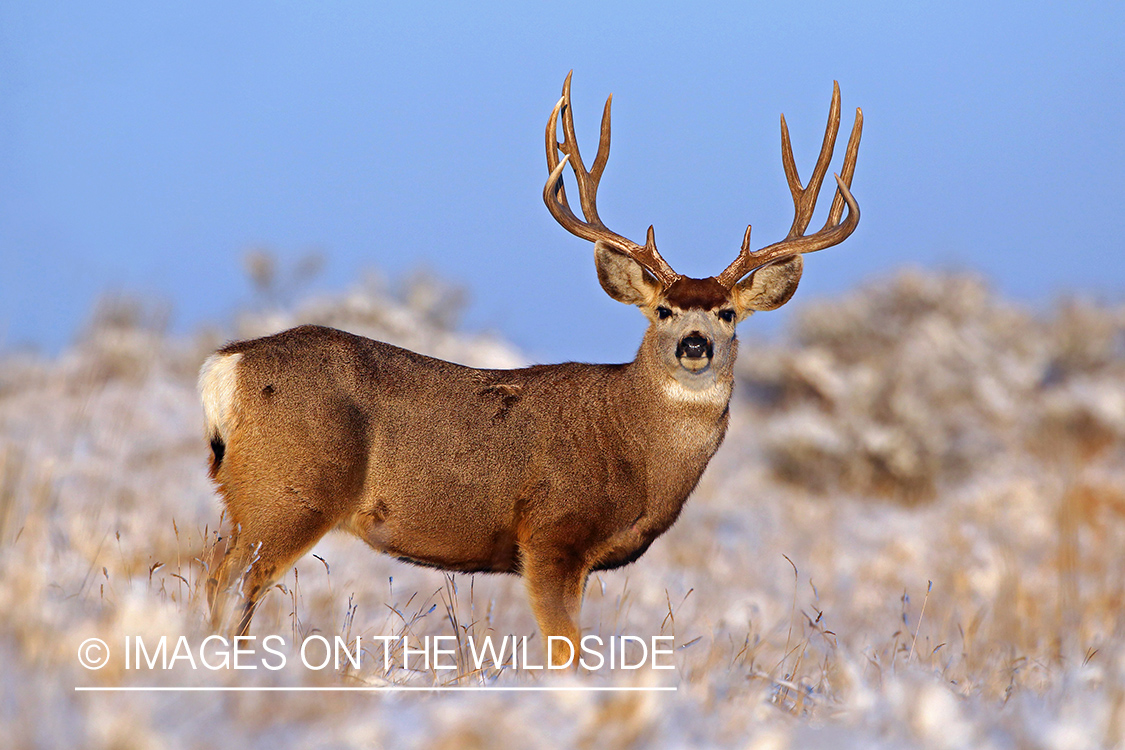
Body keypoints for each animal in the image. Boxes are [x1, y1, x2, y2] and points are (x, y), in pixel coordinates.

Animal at [198, 71, 859, 670]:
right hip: (286, 491)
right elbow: (565, 649)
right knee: (227, 581)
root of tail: (226, 364)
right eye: (664, 310)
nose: (695, 345)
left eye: (727, 313)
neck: (633, 446)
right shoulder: (549, 532)